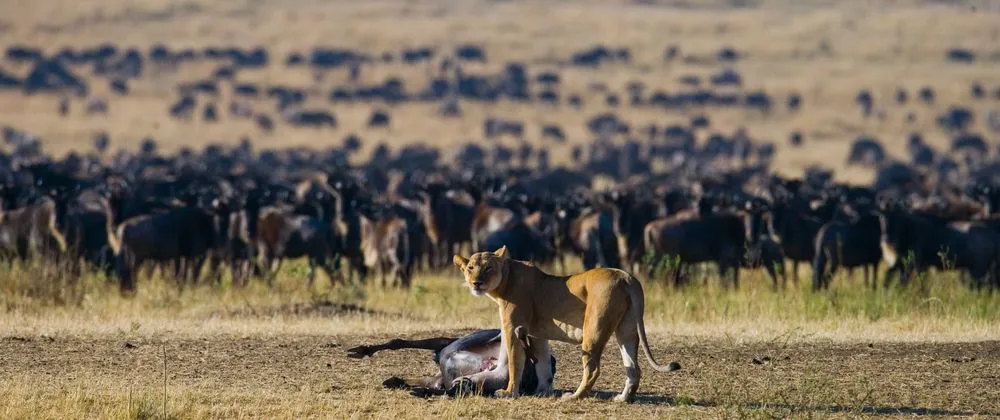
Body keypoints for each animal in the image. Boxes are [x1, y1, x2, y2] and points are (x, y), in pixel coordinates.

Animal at [452, 246, 681, 403]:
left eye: (488, 268)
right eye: (470, 268)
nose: (476, 283)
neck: (505, 279)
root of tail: (626, 276)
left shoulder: (512, 329)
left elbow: (515, 363)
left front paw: (509, 393)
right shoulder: (536, 334)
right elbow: (543, 365)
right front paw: (543, 391)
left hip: (593, 329)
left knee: (593, 370)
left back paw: (573, 397)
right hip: (626, 330)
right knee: (634, 368)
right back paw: (623, 399)